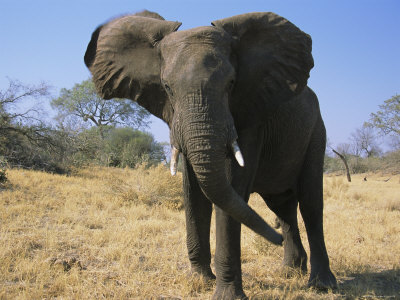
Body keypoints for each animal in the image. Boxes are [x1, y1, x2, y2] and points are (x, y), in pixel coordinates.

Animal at [84, 10, 338, 298]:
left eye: (231, 84)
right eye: (166, 87)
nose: (275, 240)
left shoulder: (249, 116)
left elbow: (231, 188)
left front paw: (226, 294)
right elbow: (193, 191)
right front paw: (200, 280)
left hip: (316, 131)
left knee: (310, 203)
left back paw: (321, 284)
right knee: (282, 206)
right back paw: (290, 271)